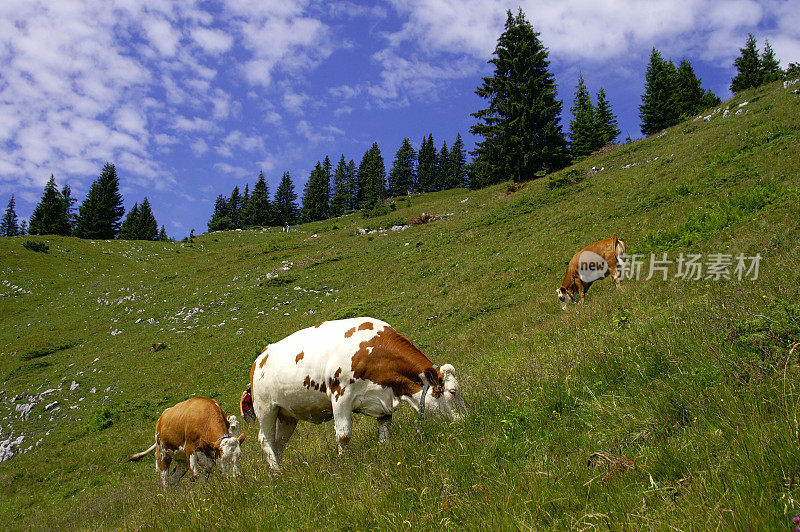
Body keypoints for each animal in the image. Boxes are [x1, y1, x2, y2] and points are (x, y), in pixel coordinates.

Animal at [239, 316, 462, 470]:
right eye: (452, 392)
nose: (464, 421)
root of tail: (260, 357)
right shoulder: (340, 394)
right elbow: (344, 435)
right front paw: (343, 462)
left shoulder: (382, 398)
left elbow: (384, 429)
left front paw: (385, 450)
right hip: (266, 409)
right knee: (265, 439)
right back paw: (276, 472)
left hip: (286, 415)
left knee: (279, 442)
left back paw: (277, 470)